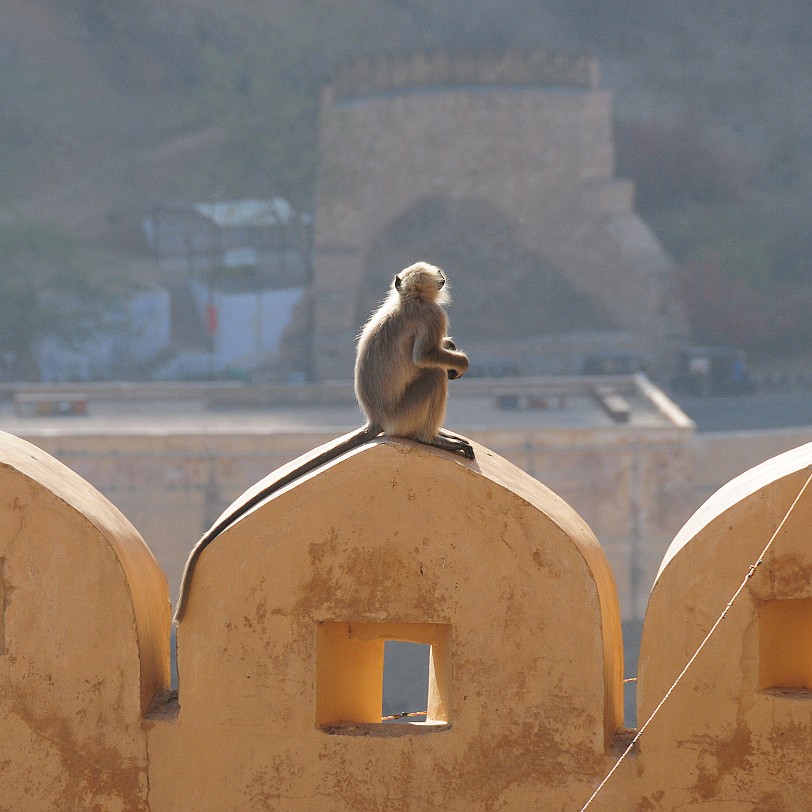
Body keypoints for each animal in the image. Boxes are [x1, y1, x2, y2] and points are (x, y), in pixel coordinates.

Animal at [174, 260, 472, 620]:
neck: (407, 301)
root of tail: (377, 420)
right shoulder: (431, 315)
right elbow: (424, 357)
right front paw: (457, 360)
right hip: (404, 414)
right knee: (432, 375)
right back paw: (432, 438)